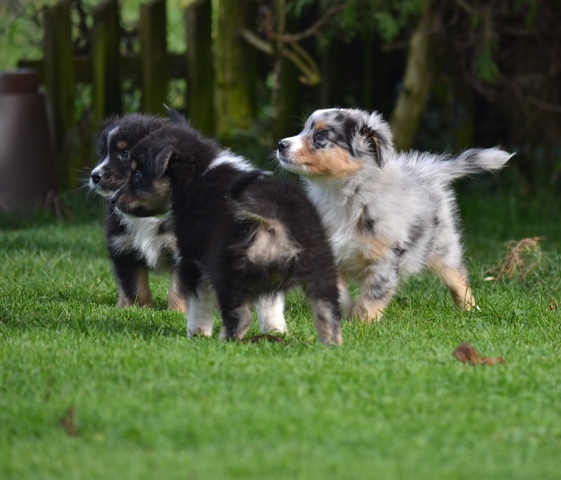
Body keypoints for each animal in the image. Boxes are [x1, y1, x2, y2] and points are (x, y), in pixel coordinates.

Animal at [110, 121, 342, 345]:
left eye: (137, 175)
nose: (113, 200)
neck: (198, 176)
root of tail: (271, 214)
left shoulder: (192, 261)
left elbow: (197, 304)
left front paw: (196, 334)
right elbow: (270, 307)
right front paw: (277, 331)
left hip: (228, 271)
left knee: (240, 316)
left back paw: (225, 342)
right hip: (321, 269)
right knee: (327, 313)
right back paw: (330, 345)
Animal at [277, 107, 513, 322]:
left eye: (321, 135)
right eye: (304, 129)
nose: (281, 145)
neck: (343, 196)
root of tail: (427, 171)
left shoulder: (386, 259)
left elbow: (371, 299)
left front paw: (361, 325)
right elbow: (340, 292)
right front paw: (345, 314)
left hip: (443, 248)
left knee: (458, 279)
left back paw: (471, 310)